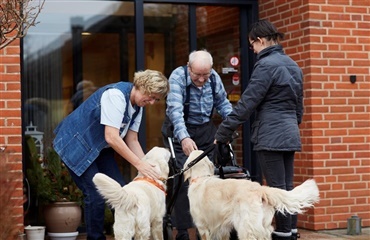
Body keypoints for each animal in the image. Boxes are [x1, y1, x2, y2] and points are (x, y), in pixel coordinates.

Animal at [184, 150, 320, 240]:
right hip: (263, 227)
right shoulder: (222, 229)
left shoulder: (202, 227)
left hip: (246, 228)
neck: (201, 178)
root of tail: (260, 188)